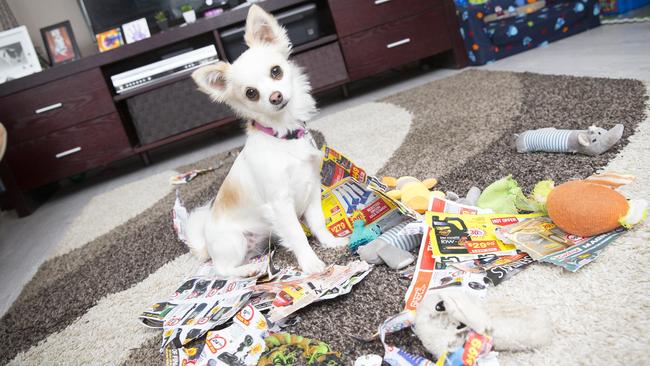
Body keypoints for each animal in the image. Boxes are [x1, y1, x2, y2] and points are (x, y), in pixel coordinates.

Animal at [187, 5, 346, 276]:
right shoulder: (280, 204)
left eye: (276, 71)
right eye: (251, 93)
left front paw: (330, 242)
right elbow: (297, 235)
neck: (284, 136)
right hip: (234, 241)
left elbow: (317, 222)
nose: (275, 96)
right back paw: (247, 272)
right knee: (221, 270)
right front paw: (311, 264)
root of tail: (207, 245)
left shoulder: (312, 188)